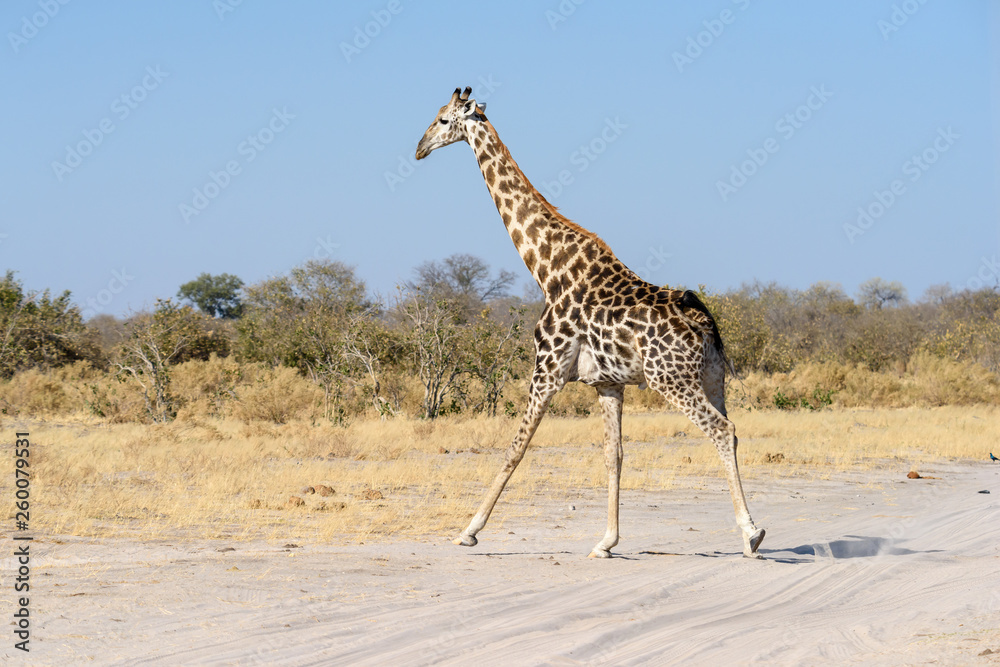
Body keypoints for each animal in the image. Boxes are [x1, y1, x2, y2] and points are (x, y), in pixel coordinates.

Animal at [415, 87, 765, 559]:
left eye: (442, 119)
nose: (419, 148)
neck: (548, 269)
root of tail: (704, 322)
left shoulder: (546, 370)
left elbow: (516, 447)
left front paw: (469, 529)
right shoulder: (608, 384)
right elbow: (613, 455)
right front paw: (607, 541)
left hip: (671, 380)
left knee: (721, 431)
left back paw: (752, 533)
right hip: (711, 379)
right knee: (732, 430)